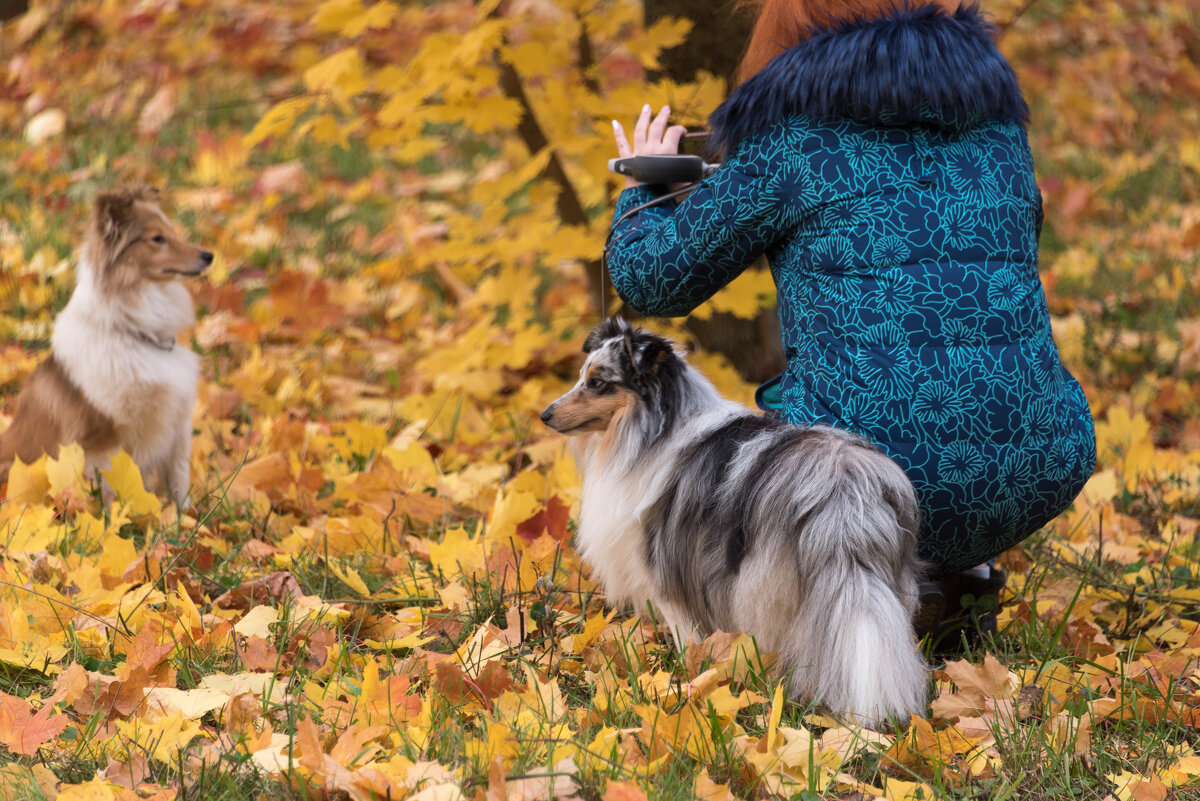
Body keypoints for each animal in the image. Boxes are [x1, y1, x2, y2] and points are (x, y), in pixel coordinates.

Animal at [0, 184, 211, 503]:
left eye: (172, 233)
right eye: (157, 239)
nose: (208, 255)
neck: (134, 334)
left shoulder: (178, 423)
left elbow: (178, 478)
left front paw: (184, 513)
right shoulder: (103, 438)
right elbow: (113, 489)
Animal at [542, 316, 926, 724]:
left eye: (598, 382)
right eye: (582, 375)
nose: (545, 414)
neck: (655, 429)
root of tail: (841, 485)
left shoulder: (668, 570)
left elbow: (686, 636)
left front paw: (690, 678)